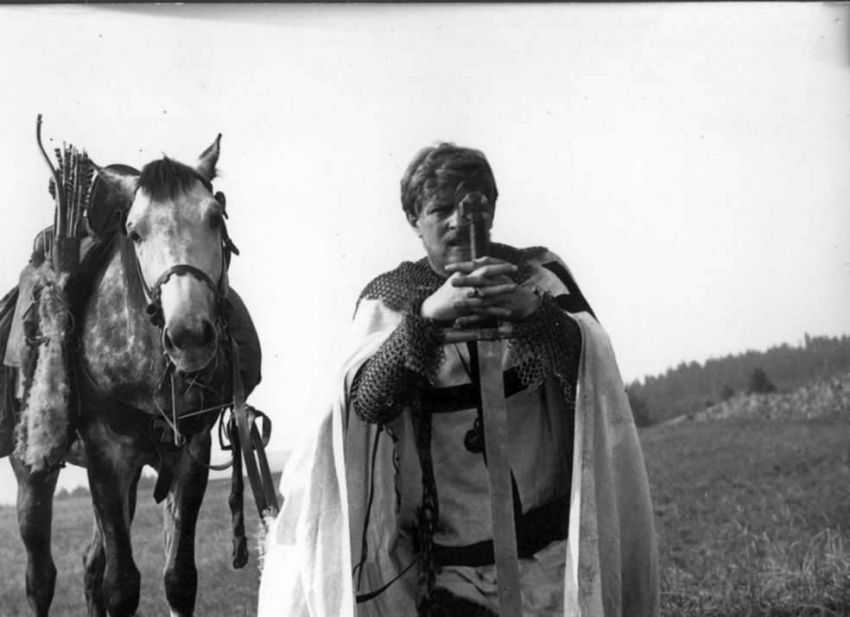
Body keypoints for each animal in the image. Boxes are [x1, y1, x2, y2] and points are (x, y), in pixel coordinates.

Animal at [9, 136, 264, 617]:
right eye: (135, 231)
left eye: (214, 216)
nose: (189, 336)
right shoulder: (106, 457)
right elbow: (122, 585)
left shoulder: (191, 453)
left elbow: (179, 578)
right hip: (32, 470)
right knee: (40, 577)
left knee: (90, 565)